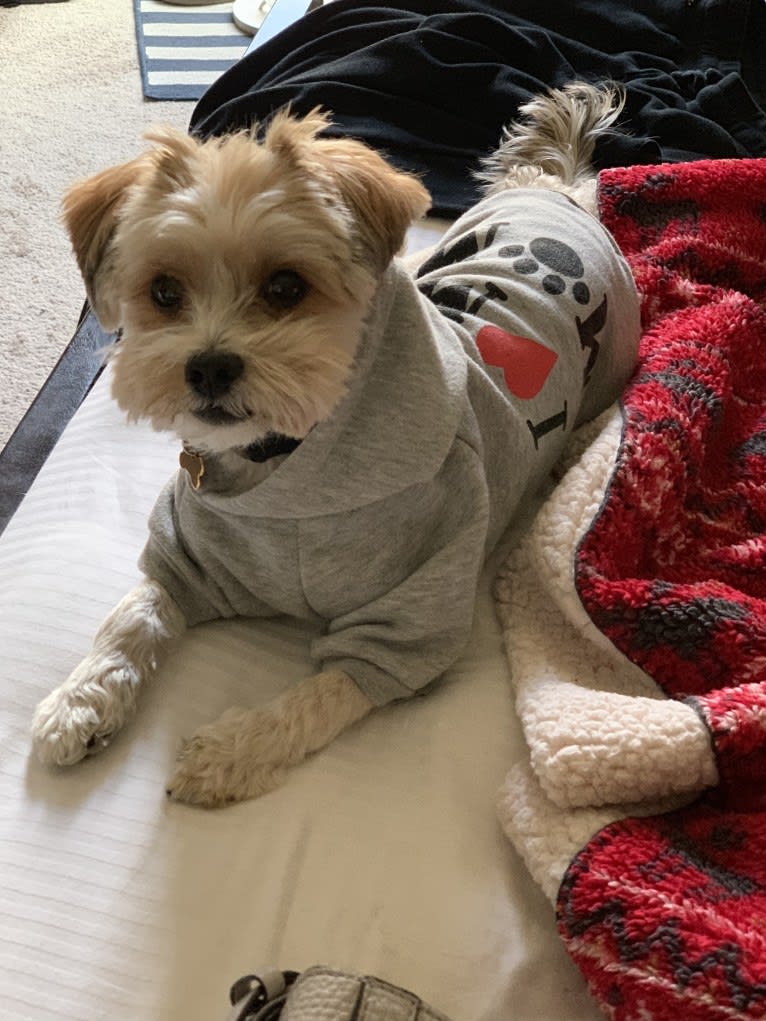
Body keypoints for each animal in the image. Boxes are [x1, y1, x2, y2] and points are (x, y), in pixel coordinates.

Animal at [30, 83, 641, 808]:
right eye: (164, 292)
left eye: (286, 287)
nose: (207, 367)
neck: (284, 464)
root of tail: (555, 191)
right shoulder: (190, 560)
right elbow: (132, 617)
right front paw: (81, 698)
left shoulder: (408, 615)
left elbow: (315, 699)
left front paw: (228, 752)